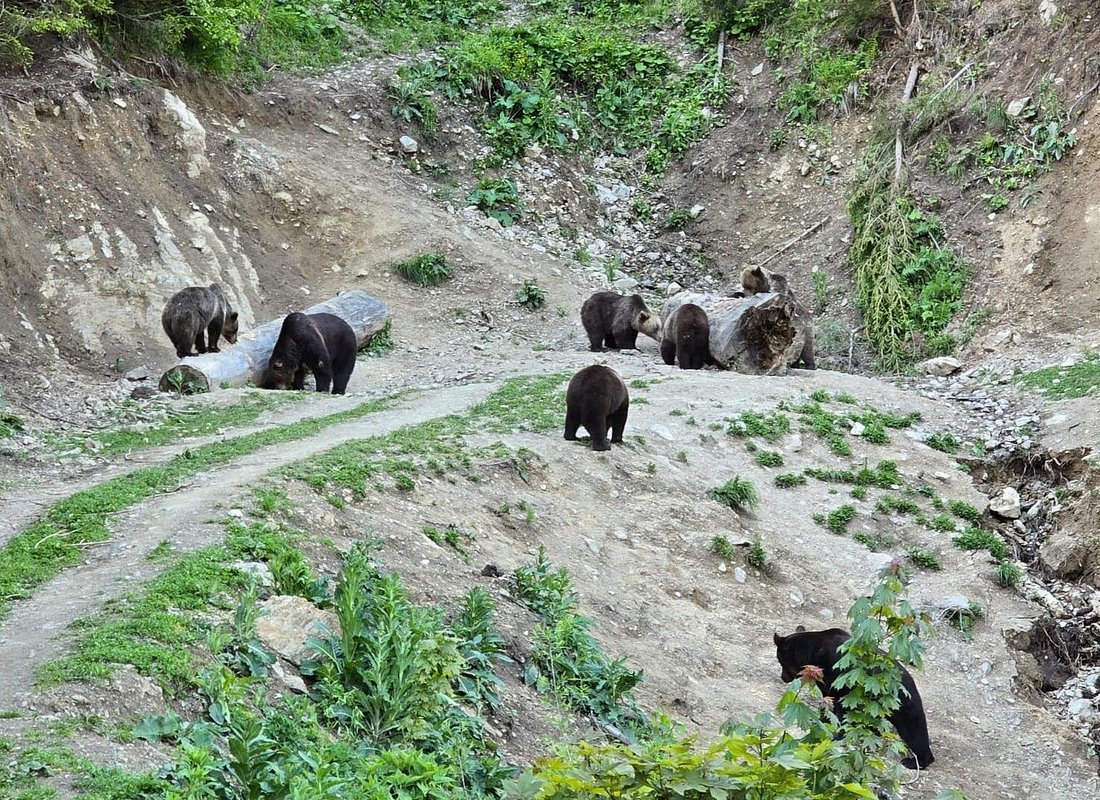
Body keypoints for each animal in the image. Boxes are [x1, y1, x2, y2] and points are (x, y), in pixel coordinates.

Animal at [773, 626, 934, 770]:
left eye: (780, 660)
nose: (783, 677)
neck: (816, 656)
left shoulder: (842, 678)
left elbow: (842, 709)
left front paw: (837, 733)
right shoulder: (827, 682)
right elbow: (829, 702)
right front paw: (823, 720)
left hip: (903, 703)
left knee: (914, 730)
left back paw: (915, 761)